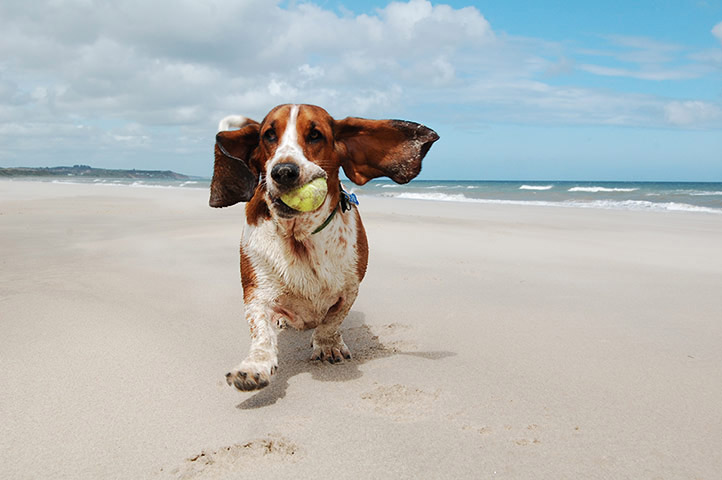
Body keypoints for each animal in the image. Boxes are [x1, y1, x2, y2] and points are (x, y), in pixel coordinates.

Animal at [205, 104, 436, 390]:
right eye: (269, 135)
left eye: (315, 135)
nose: (284, 171)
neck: (299, 237)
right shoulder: (256, 294)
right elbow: (261, 332)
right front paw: (254, 367)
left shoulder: (349, 289)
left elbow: (331, 320)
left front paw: (328, 346)